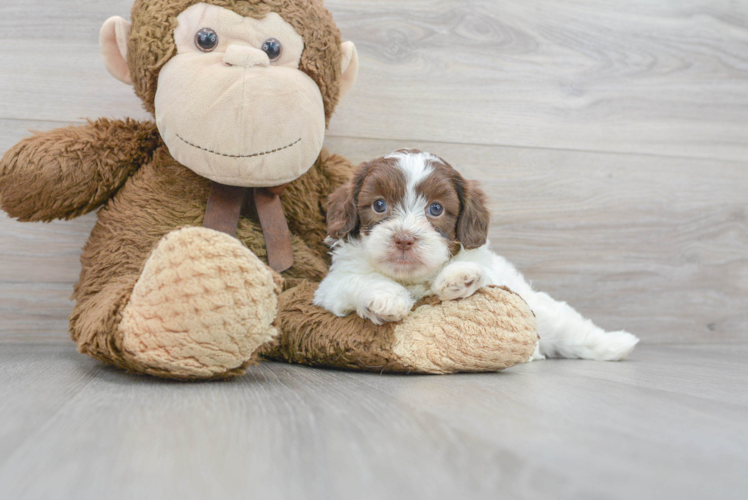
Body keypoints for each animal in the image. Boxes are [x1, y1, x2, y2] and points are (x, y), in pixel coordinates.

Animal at [312, 149, 640, 364]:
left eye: (435, 209)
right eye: (379, 205)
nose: (404, 238)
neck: (413, 279)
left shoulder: (495, 276)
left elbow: (481, 274)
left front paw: (460, 276)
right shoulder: (333, 285)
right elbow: (359, 281)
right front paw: (385, 298)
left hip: (546, 314)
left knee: (574, 330)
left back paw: (619, 344)